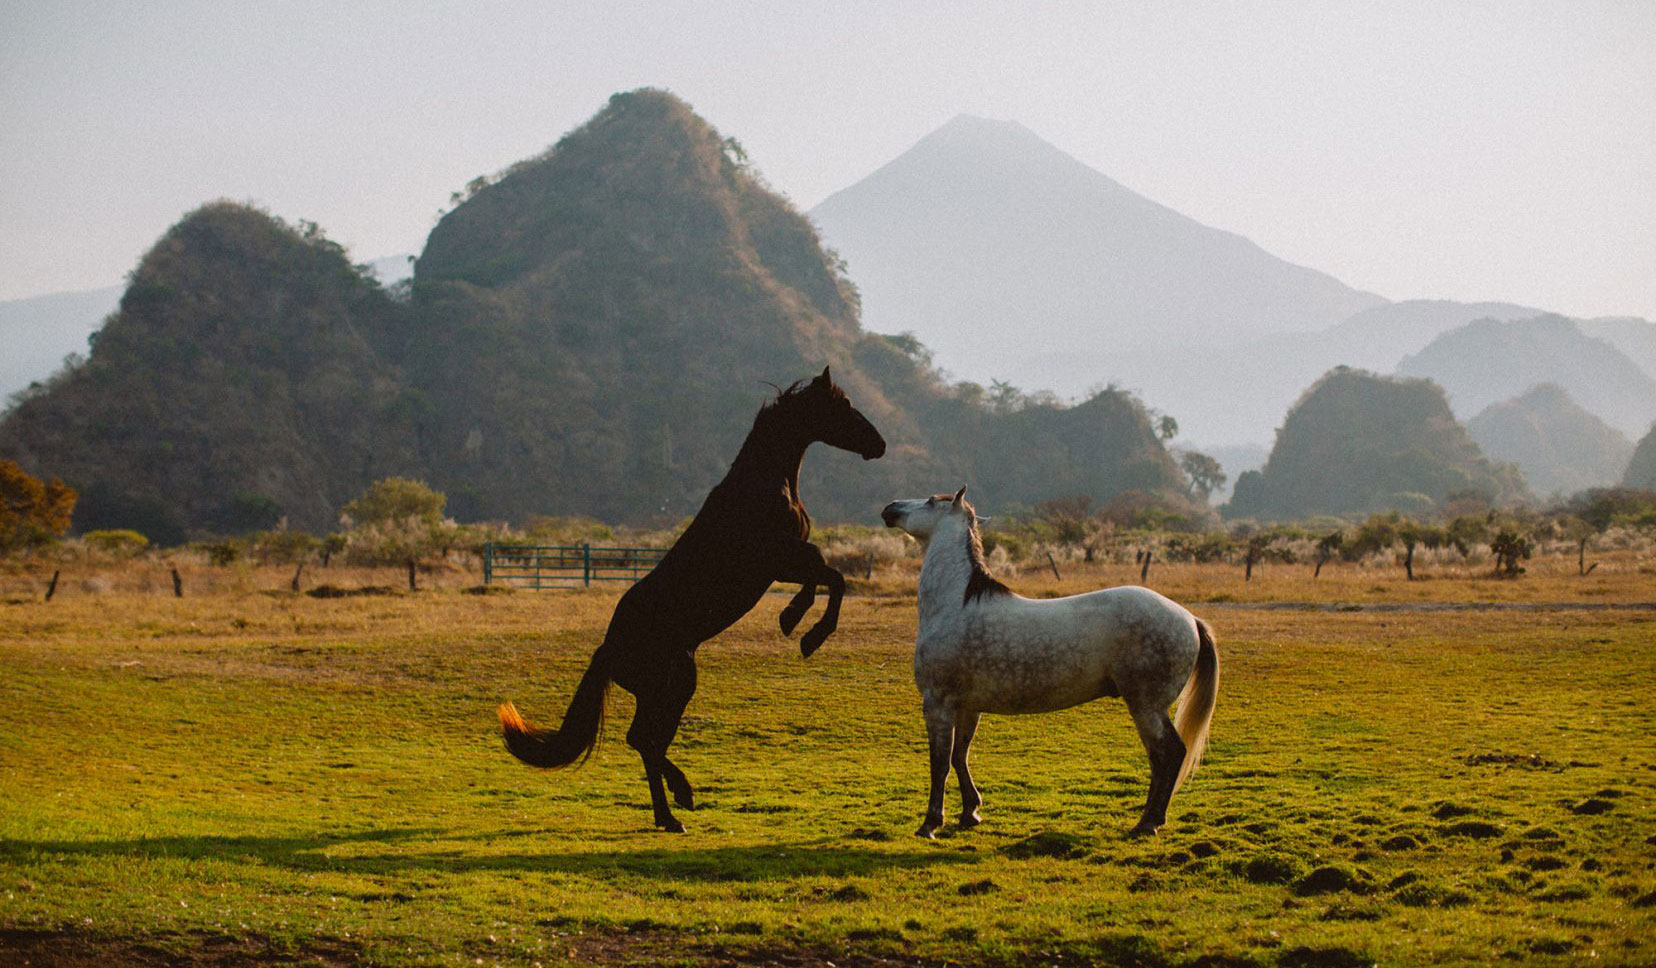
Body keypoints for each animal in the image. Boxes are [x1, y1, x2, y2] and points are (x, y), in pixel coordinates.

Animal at [498, 367, 886, 832]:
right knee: (644, 739)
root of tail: (608, 650)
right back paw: (678, 804)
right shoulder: (776, 559)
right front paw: (808, 634)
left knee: (645, 740)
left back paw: (670, 813)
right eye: (841, 406)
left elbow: (821, 575)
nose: (878, 444)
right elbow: (833, 577)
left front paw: (792, 620)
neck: (761, 486)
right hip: (673, 682)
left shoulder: (783, 563)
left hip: (670, 687)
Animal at [881, 486, 1219, 838]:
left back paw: (1148, 822)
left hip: (1147, 707)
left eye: (931, 501)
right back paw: (1151, 819)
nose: (890, 508)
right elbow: (961, 756)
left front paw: (931, 823)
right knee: (1159, 759)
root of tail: (1190, 619)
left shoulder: (938, 703)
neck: (956, 604)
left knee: (1168, 754)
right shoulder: (967, 706)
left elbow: (940, 763)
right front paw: (970, 812)